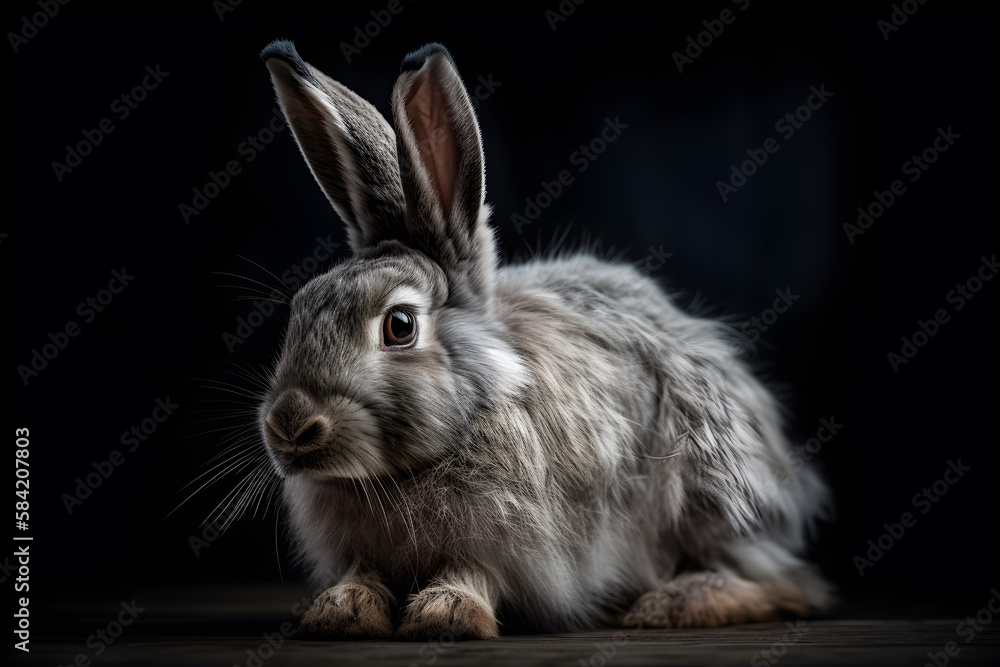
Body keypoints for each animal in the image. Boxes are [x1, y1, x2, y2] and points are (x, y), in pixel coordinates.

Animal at [257, 39, 832, 641]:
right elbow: (362, 575)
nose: (289, 426)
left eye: (400, 326)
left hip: (709, 494)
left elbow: (470, 572)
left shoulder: (508, 546)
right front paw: (340, 611)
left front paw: (447, 614)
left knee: (785, 584)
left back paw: (669, 604)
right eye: (301, 307)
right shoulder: (362, 552)